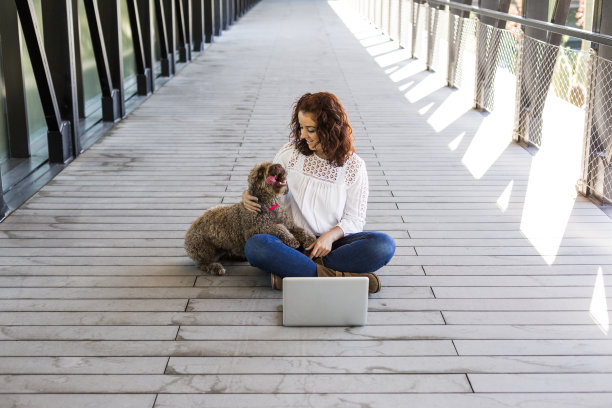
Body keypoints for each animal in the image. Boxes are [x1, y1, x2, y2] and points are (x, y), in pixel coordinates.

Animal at [184, 162, 314, 274]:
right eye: (260, 172)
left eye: (271, 162)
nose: (277, 166)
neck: (269, 206)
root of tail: (189, 231)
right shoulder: (255, 230)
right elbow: (278, 227)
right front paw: (291, 239)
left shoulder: (289, 224)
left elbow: (301, 230)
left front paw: (311, 240)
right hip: (203, 248)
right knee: (202, 263)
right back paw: (215, 267)